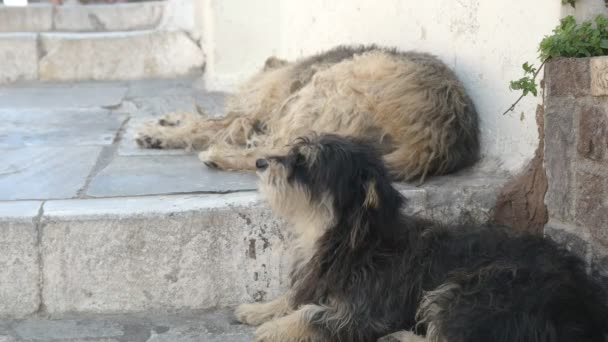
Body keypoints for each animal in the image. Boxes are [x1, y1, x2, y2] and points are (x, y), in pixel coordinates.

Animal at [135, 46, 478, 183]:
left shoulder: (253, 113)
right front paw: (166, 121)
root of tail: (437, 138)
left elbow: (209, 124)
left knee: (274, 152)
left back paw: (218, 156)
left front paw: (160, 133)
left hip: (328, 86)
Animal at [234, 134, 608, 342]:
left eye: (305, 164)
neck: (354, 239)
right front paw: (260, 309)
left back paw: (400, 337)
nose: (260, 162)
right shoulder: (318, 280)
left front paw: (277, 328)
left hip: (475, 289)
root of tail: (586, 310)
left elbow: (312, 313)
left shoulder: (366, 312)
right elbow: (295, 297)